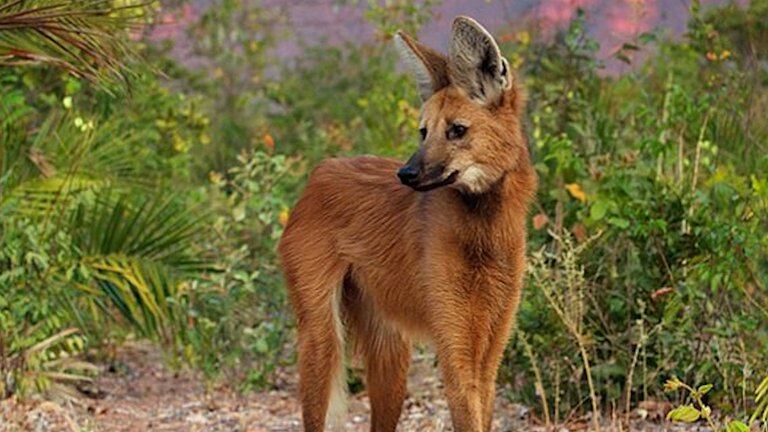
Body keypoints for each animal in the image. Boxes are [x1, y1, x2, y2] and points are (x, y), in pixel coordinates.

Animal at [280, 15, 536, 430]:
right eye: (423, 131)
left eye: (457, 130)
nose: (406, 173)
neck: (484, 229)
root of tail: (320, 171)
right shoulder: (456, 351)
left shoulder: (489, 354)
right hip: (322, 338)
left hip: (391, 354)